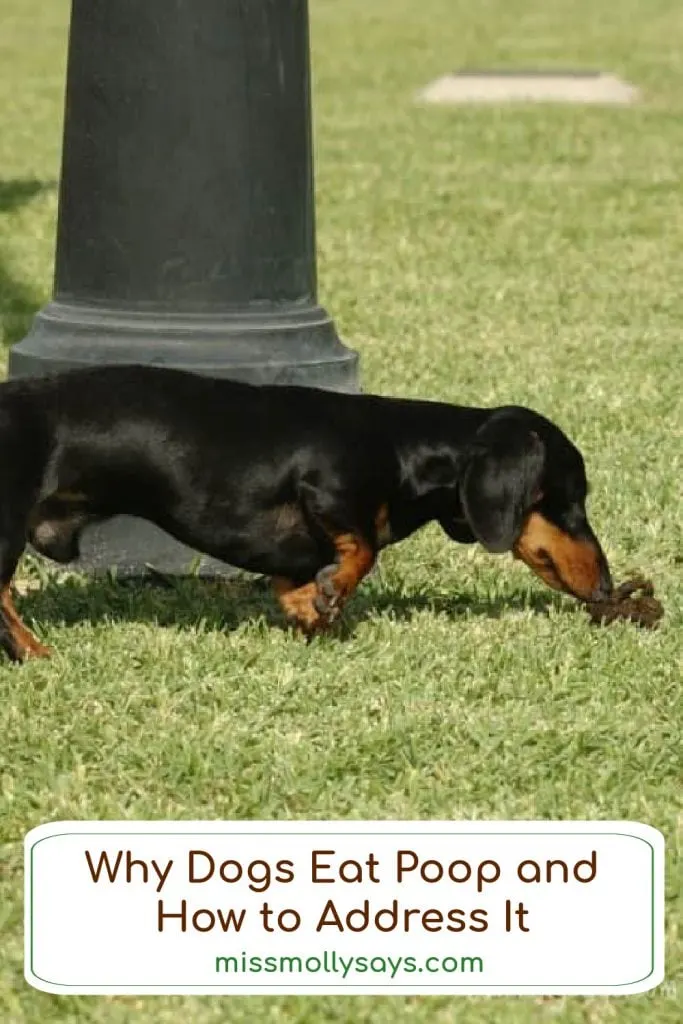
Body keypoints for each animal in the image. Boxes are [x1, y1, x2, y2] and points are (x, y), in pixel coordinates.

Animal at [0, 364, 612, 661]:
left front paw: (310, 609)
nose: (608, 588)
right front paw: (331, 592)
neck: (402, 447)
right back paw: (37, 654)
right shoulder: (325, 488)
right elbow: (362, 549)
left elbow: (294, 582)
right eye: (569, 499)